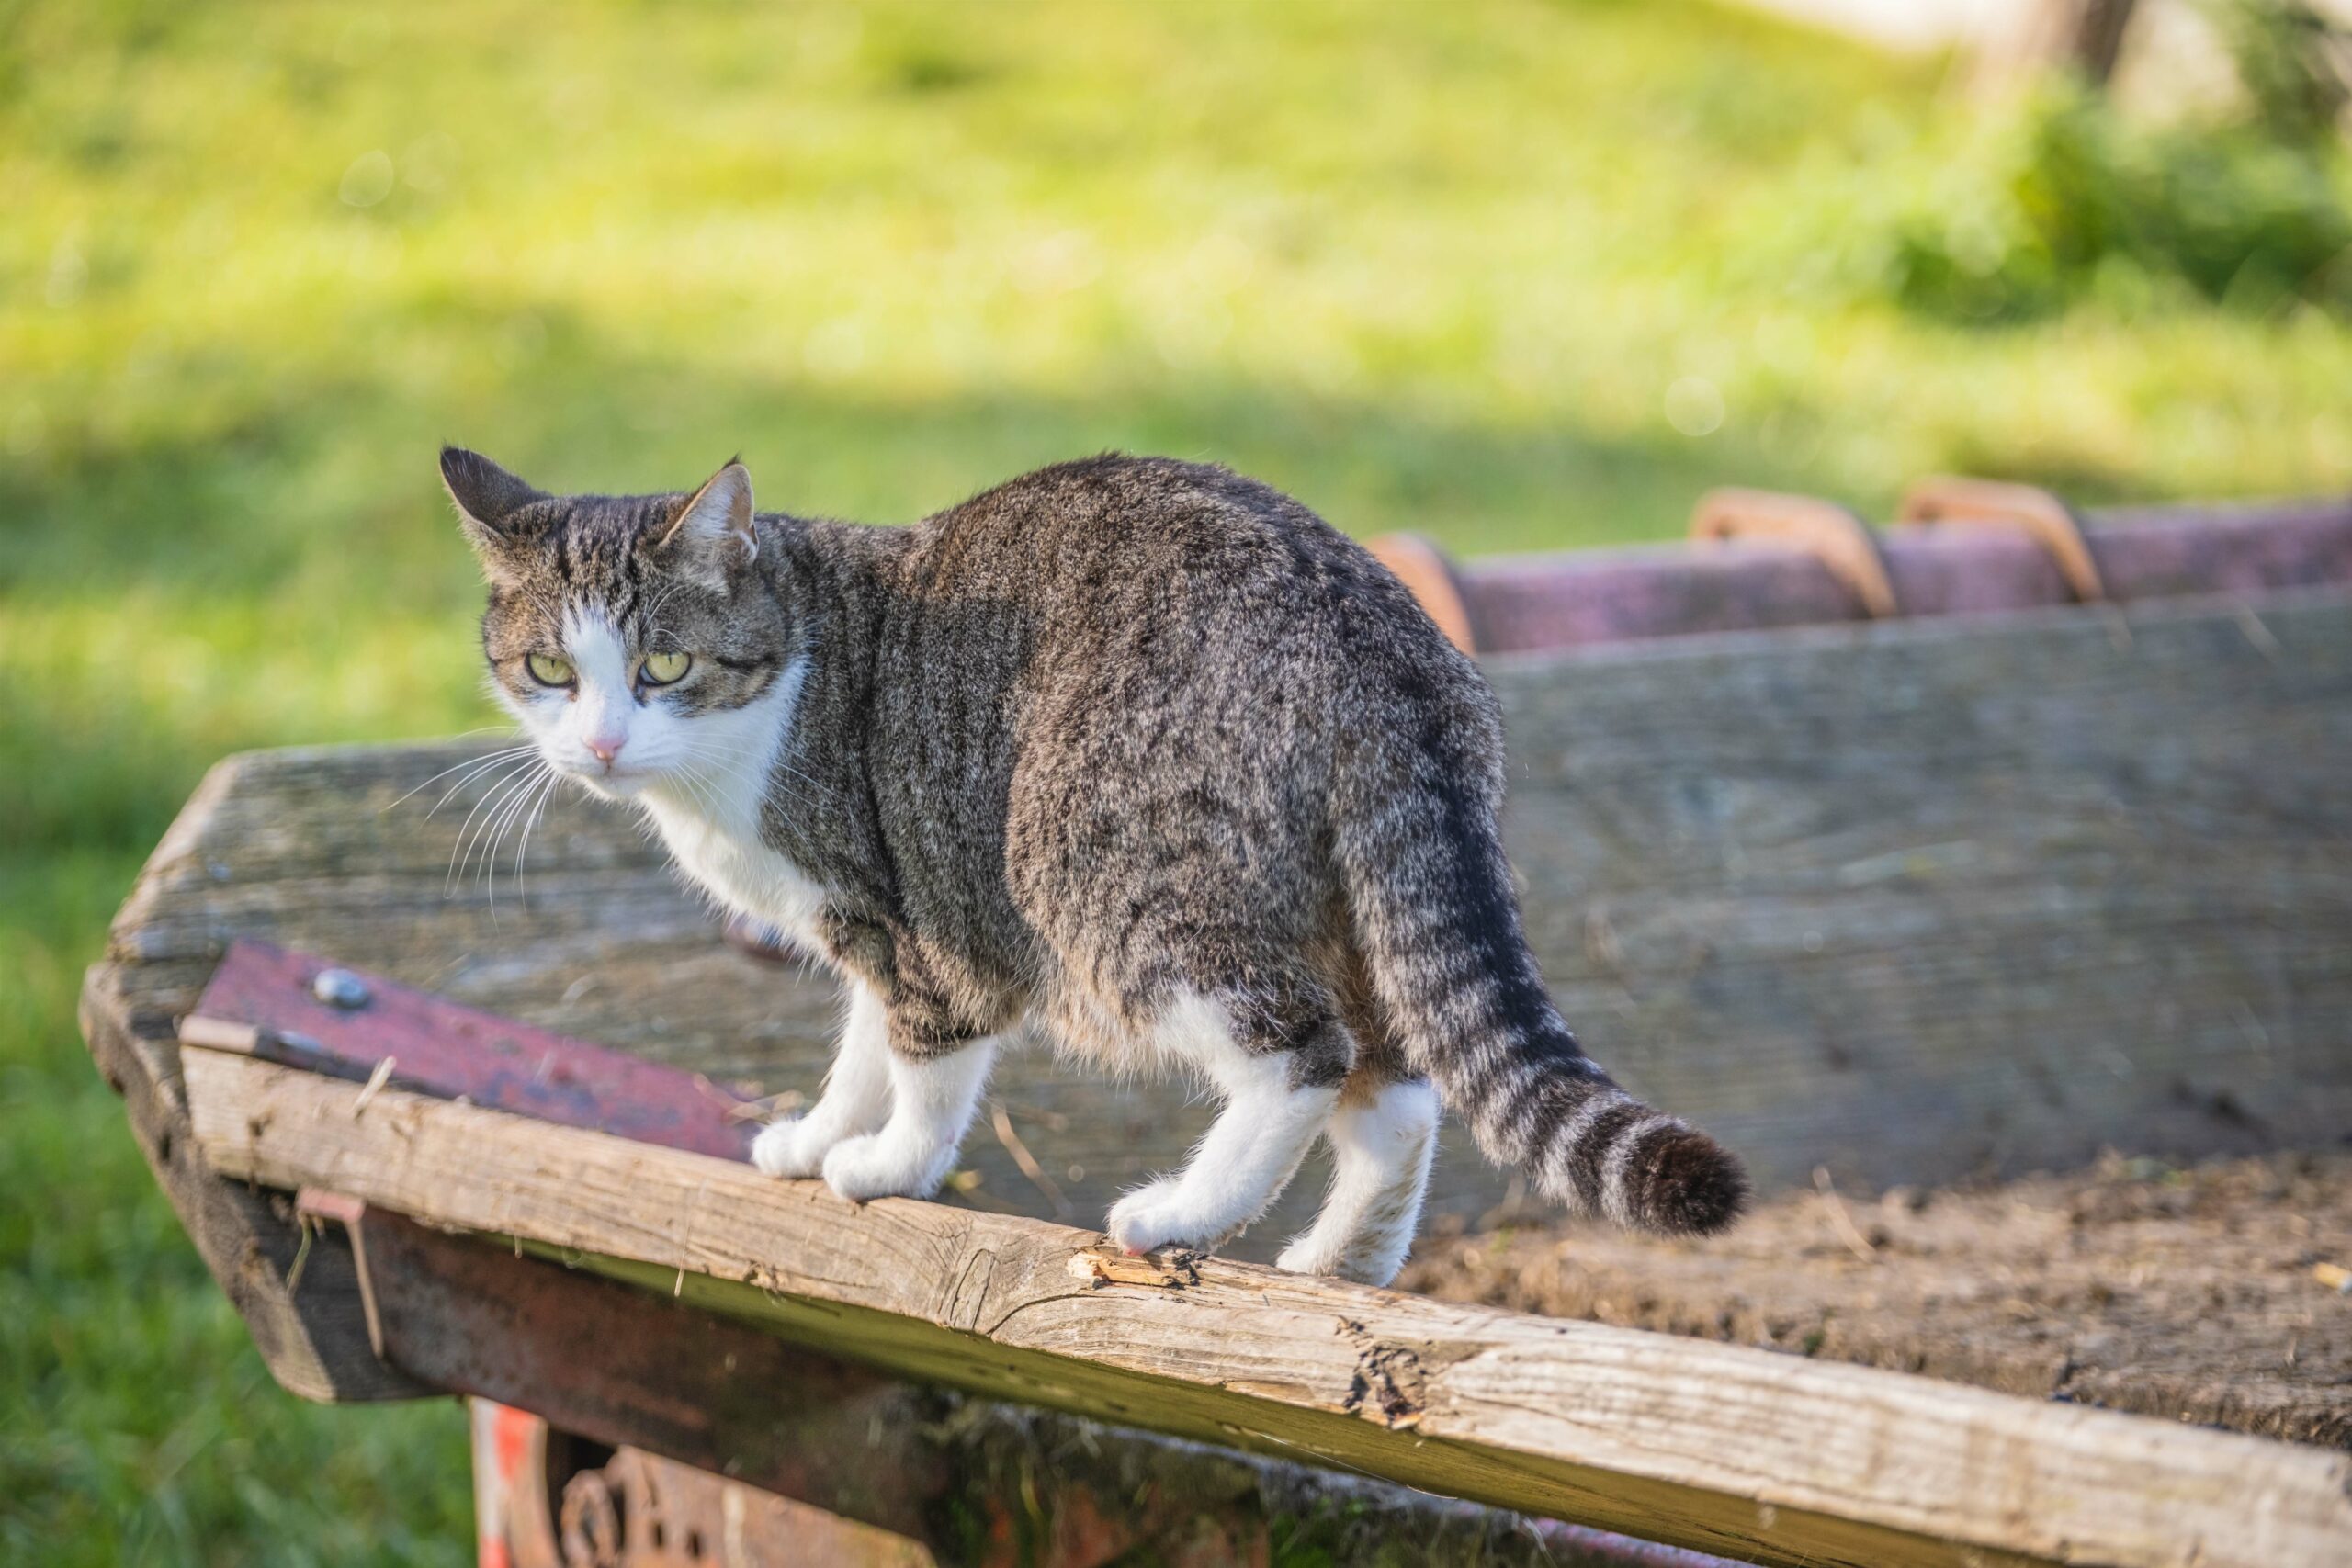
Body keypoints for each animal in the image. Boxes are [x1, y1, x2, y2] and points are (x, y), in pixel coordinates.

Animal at [448, 446, 1740, 1279]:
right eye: (550, 671)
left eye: (662, 665)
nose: (601, 745)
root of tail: (1381, 643)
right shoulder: (869, 924)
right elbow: (860, 1050)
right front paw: (815, 1140)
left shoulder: (919, 919)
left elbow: (923, 1059)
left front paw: (888, 1168)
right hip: (1341, 902)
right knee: (1399, 1089)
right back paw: (1340, 1261)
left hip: (1095, 871)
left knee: (1302, 1052)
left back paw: (1181, 1215)